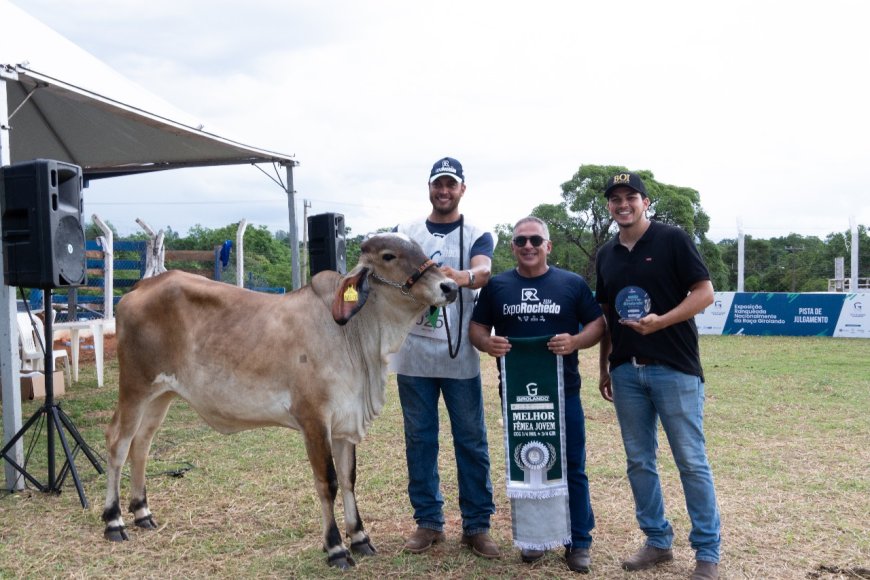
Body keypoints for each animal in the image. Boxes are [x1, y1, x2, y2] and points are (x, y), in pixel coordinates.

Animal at [101, 233, 460, 568]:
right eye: (389, 256)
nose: (450, 286)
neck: (353, 335)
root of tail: (140, 287)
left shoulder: (345, 422)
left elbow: (349, 479)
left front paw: (359, 537)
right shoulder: (314, 420)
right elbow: (327, 482)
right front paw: (336, 547)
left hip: (162, 394)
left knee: (141, 445)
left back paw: (142, 512)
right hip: (135, 387)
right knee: (118, 442)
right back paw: (114, 520)